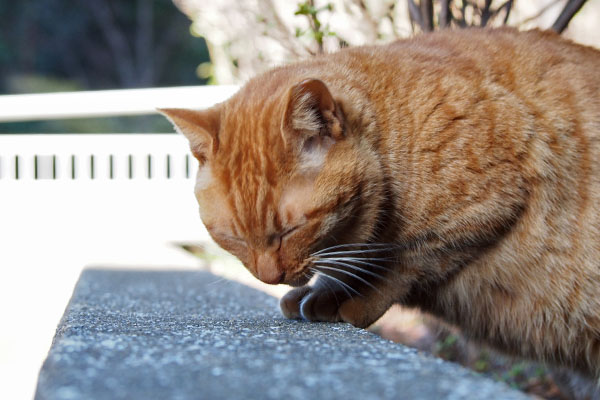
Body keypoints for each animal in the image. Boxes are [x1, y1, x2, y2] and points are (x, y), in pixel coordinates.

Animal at [159, 28, 600, 378]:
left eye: (291, 229)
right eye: (233, 238)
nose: (269, 278)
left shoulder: (486, 202)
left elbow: (408, 260)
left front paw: (356, 301)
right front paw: (324, 292)